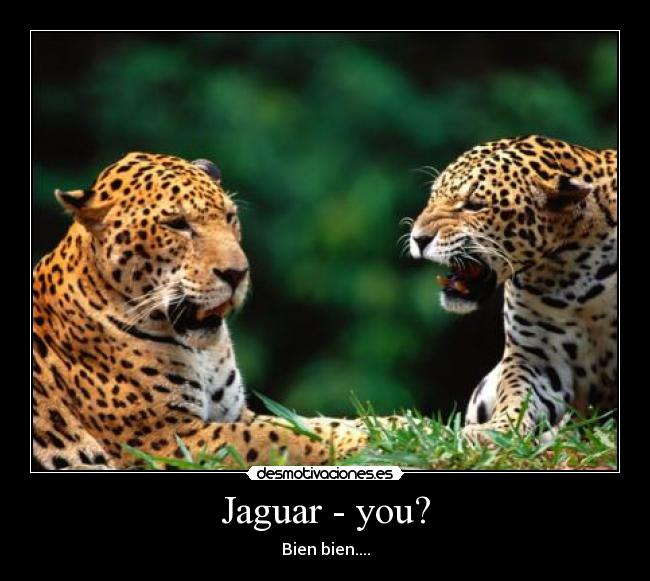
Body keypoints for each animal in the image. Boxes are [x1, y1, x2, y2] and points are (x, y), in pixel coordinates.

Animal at [32, 152, 385, 470]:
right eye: (177, 224)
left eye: (230, 217)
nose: (237, 273)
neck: (202, 352)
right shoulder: (165, 440)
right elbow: (282, 438)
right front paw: (360, 442)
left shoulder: (236, 414)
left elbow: (307, 423)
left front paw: (387, 425)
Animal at [408, 135, 617, 444]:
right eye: (434, 196)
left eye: (474, 205)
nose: (417, 238)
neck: (568, 269)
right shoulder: (536, 356)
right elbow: (517, 395)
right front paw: (498, 429)